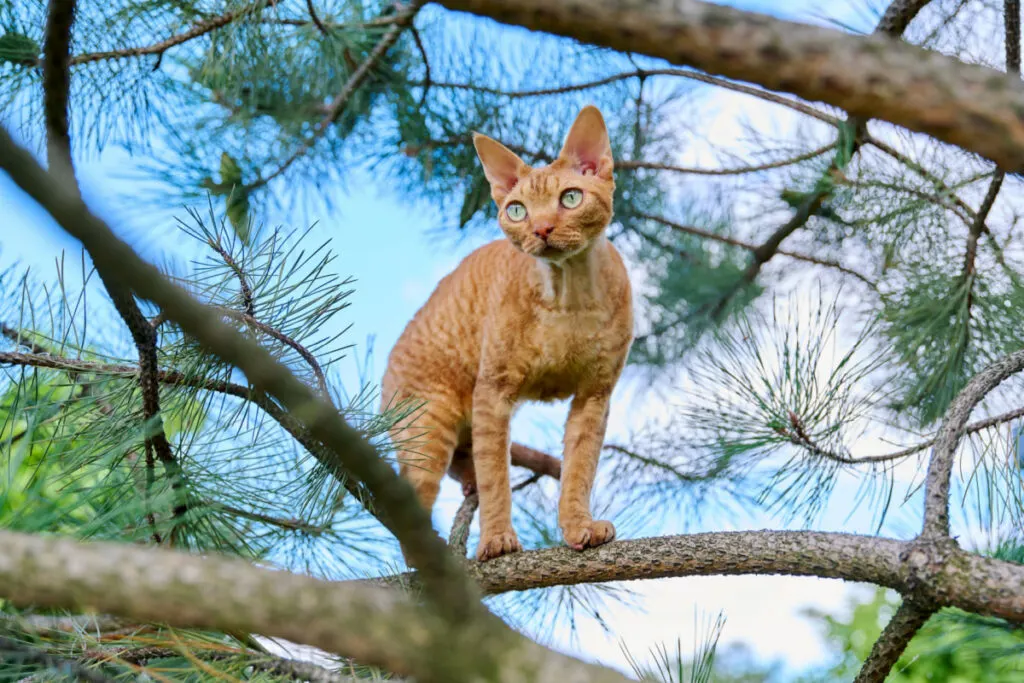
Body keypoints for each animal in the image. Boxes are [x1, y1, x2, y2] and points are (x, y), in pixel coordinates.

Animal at [380, 105, 626, 561]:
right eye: (517, 210)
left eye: (570, 198)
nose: (541, 229)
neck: (569, 295)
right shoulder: (493, 390)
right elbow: (497, 475)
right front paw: (496, 539)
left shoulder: (595, 394)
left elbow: (579, 467)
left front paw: (578, 525)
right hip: (428, 422)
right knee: (415, 498)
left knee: (466, 460)